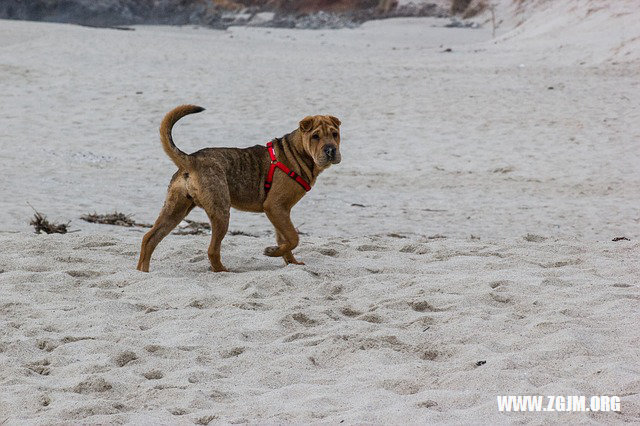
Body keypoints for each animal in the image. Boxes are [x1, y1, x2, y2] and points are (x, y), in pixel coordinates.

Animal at [138, 106, 342, 272]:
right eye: (315, 136)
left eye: (335, 134)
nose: (331, 150)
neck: (297, 153)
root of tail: (191, 160)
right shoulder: (275, 207)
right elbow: (293, 238)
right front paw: (272, 252)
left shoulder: (281, 211)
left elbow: (285, 239)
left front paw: (289, 261)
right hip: (220, 211)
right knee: (212, 250)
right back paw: (224, 271)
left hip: (175, 209)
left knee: (149, 238)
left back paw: (143, 272)